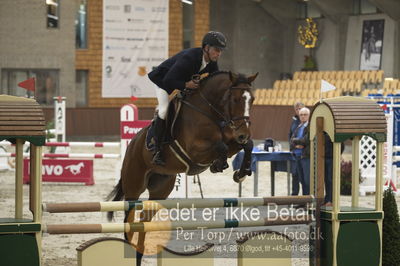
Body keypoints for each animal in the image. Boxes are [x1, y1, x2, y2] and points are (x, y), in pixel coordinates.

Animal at [107, 70, 256, 264]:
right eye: (235, 99)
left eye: (252, 99)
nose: (243, 133)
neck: (209, 110)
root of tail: (132, 144)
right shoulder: (195, 150)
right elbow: (221, 147)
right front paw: (219, 165)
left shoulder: (232, 140)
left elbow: (246, 145)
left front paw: (241, 173)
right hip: (134, 186)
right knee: (129, 220)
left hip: (161, 189)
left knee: (143, 221)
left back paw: (139, 253)